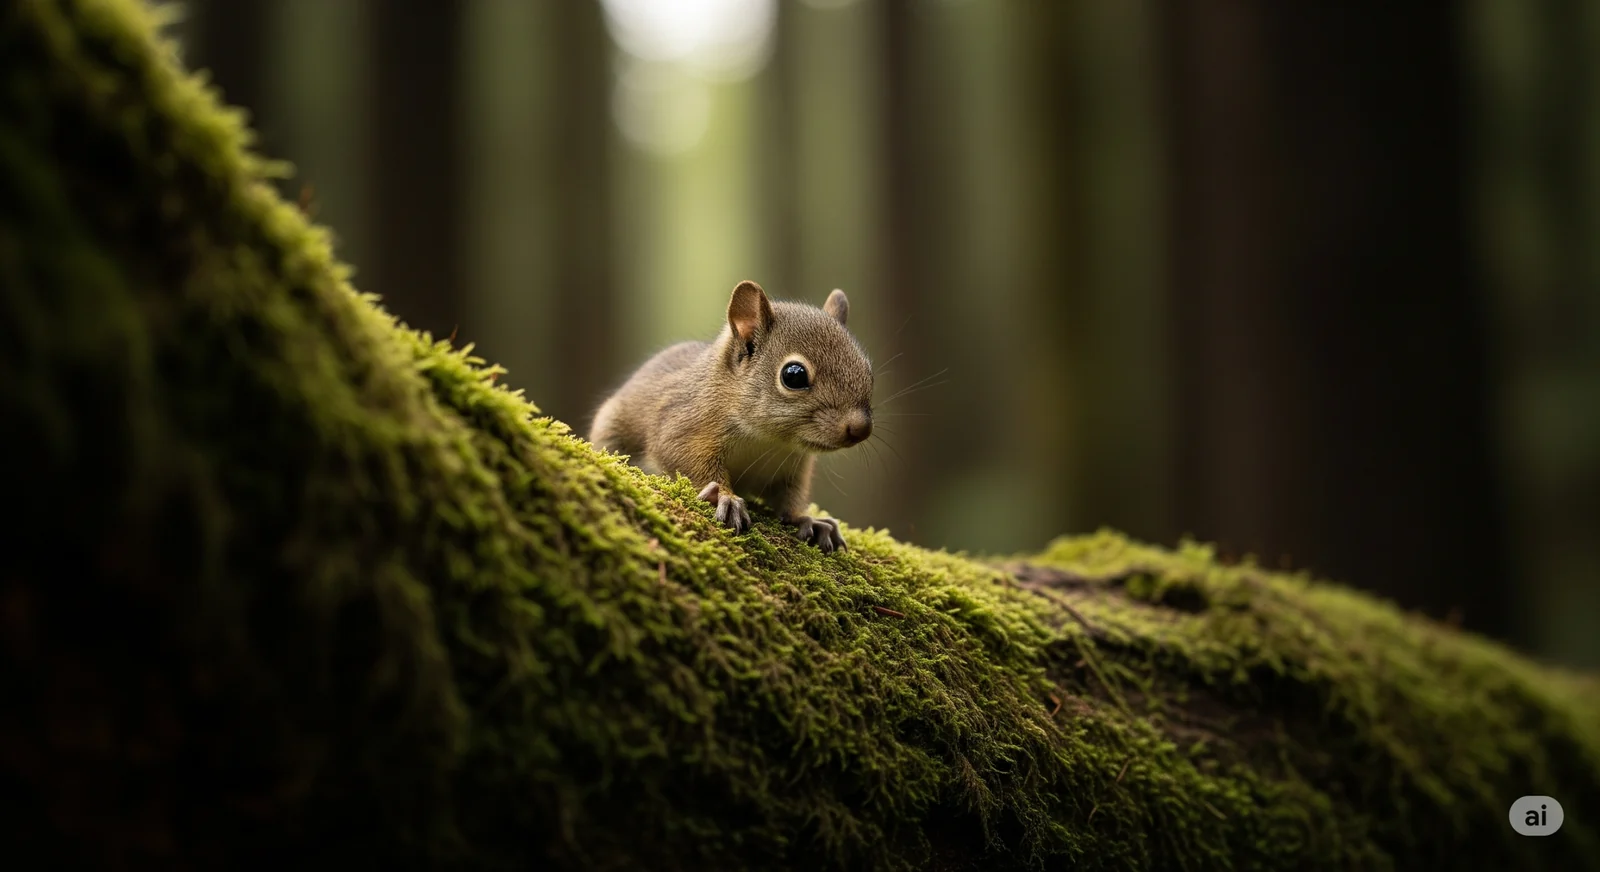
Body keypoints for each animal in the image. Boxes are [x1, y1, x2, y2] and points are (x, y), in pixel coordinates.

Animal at [588, 280, 874, 552]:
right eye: (794, 375)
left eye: (868, 370)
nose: (861, 428)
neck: (769, 442)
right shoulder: (682, 425)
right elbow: (685, 459)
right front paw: (724, 497)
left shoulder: (794, 468)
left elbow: (789, 499)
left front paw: (807, 519)